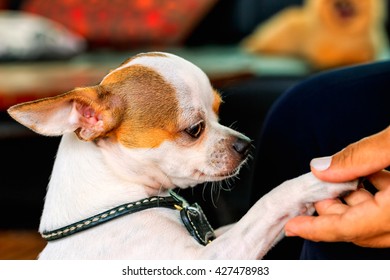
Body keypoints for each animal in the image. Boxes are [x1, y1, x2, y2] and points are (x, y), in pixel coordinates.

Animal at [8, 51, 356, 260]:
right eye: (195, 129)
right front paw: (313, 183)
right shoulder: (211, 258)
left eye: (219, 111)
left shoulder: (215, 239)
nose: (245, 145)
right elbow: (267, 205)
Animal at [242, 0, 388, 69]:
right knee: (262, 41)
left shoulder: (367, 49)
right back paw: (252, 45)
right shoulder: (319, 50)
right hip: (276, 40)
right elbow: (327, 57)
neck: (343, 34)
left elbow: (362, 55)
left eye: (354, 2)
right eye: (334, 3)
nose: (342, 3)